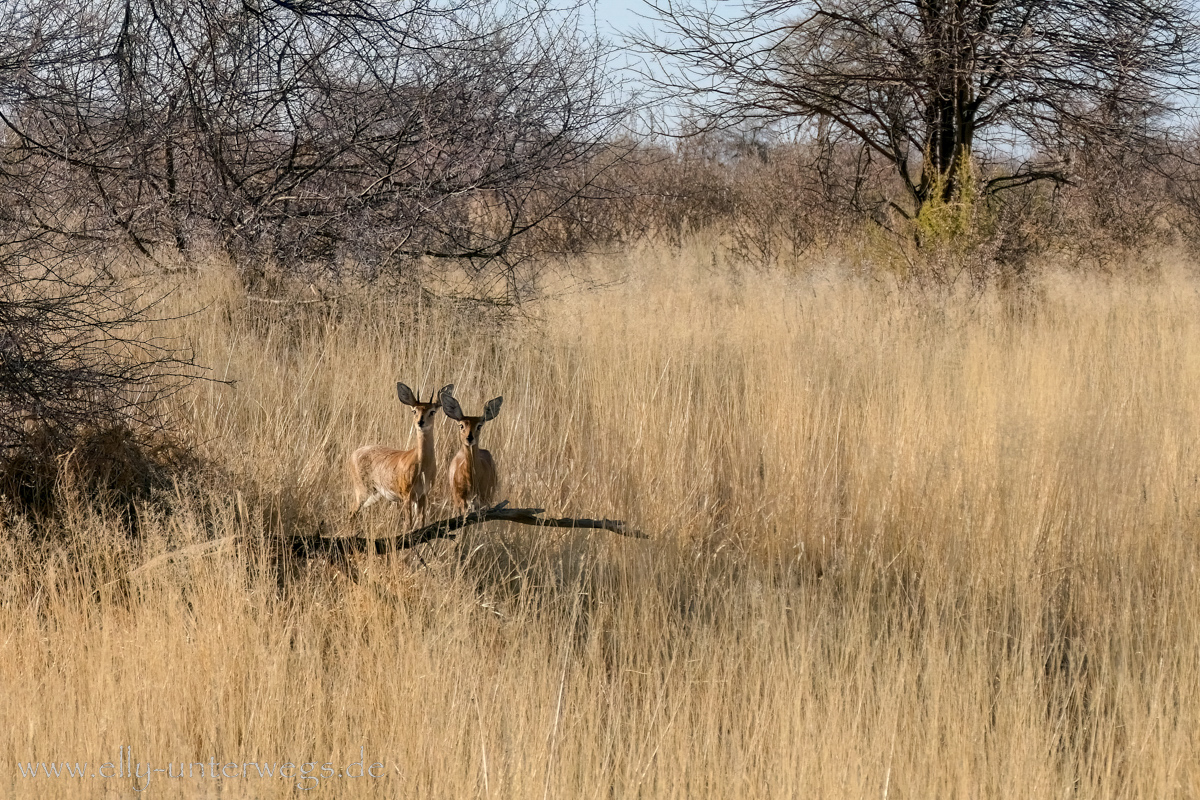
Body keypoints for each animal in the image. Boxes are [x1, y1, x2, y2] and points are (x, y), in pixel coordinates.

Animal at [352, 383, 456, 527]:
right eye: (414, 411)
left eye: (432, 411)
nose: (420, 422)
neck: (422, 466)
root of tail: (354, 453)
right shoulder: (407, 496)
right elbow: (408, 524)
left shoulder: (423, 495)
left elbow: (421, 522)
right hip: (362, 492)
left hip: (374, 495)